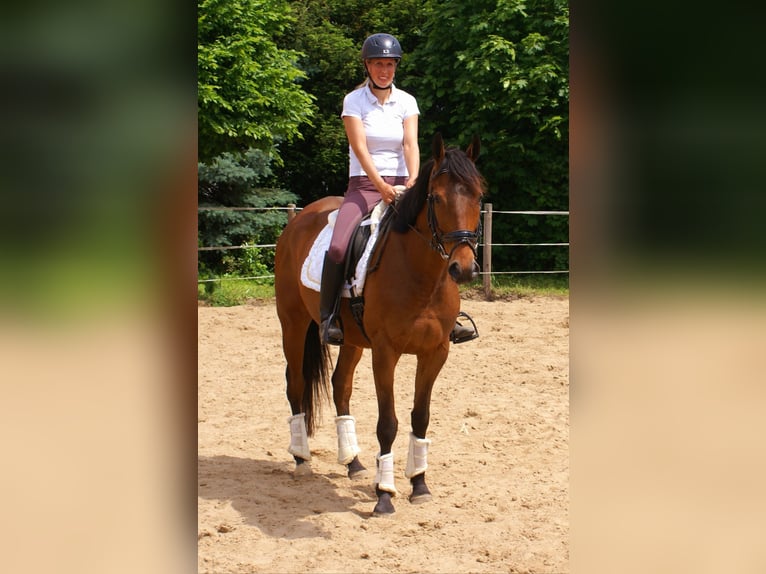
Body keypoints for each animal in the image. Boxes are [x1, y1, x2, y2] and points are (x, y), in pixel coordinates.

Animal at [273, 133, 485, 515]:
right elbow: (388, 423)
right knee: (295, 384)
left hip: (352, 340)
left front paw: (419, 484)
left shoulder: (435, 352)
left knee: (339, 386)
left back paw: (353, 462)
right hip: (292, 322)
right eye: (436, 198)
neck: (420, 275)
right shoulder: (386, 352)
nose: (462, 268)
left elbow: (420, 416)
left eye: (478, 196)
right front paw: (385, 494)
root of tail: (299, 220)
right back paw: (301, 458)